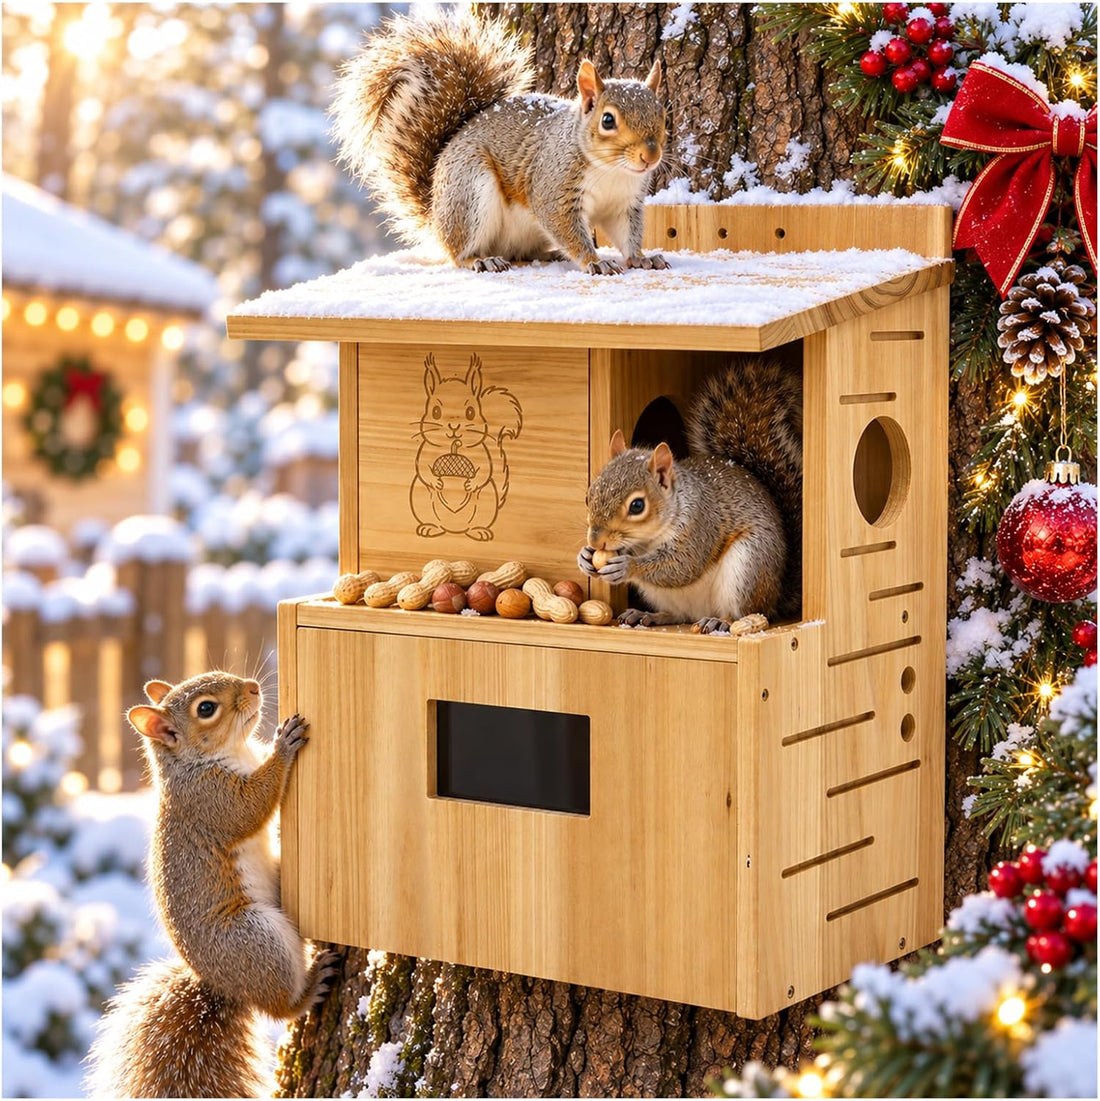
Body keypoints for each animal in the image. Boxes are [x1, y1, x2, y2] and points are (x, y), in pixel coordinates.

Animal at [85, 673, 339, 1099]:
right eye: (206, 708)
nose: (253, 686)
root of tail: (225, 986)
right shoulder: (211, 800)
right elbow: (251, 807)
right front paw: (283, 745)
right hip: (254, 940)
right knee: (279, 1004)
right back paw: (309, 988)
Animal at [331, 10, 670, 276]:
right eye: (608, 120)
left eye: (663, 114)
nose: (650, 156)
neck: (613, 171)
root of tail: (436, 213)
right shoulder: (554, 187)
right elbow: (566, 228)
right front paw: (594, 261)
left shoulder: (624, 204)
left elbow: (628, 234)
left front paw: (641, 258)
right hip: (470, 191)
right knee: (458, 252)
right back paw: (481, 260)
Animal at [411, 352, 523, 540]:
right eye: (435, 412)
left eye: (471, 413)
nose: (453, 427)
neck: (454, 448)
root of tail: (454, 528)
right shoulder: (425, 450)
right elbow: (423, 469)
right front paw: (437, 482)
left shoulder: (482, 453)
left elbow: (485, 470)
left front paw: (471, 484)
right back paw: (430, 527)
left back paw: (479, 531)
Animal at [579, 356, 803, 632]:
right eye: (588, 495)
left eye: (637, 506)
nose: (595, 541)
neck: (647, 539)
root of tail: (775, 595)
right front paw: (584, 557)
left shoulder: (700, 525)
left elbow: (683, 565)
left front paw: (627, 565)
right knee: (679, 615)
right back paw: (648, 615)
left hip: (748, 566)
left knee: (745, 612)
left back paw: (721, 620)